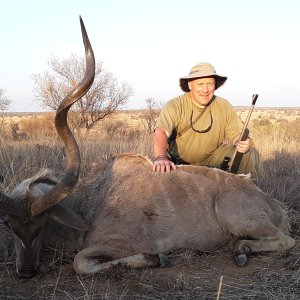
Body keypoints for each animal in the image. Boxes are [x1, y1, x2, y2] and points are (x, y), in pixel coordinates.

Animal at [0, 18, 296, 278]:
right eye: (11, 225)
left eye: (42, 223)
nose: (26, 272)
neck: (94, 200)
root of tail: (274, 205)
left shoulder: (121, 242)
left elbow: (80, 262)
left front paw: (158, 258)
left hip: (238, 218)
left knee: (287, 241)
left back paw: (242, 250)